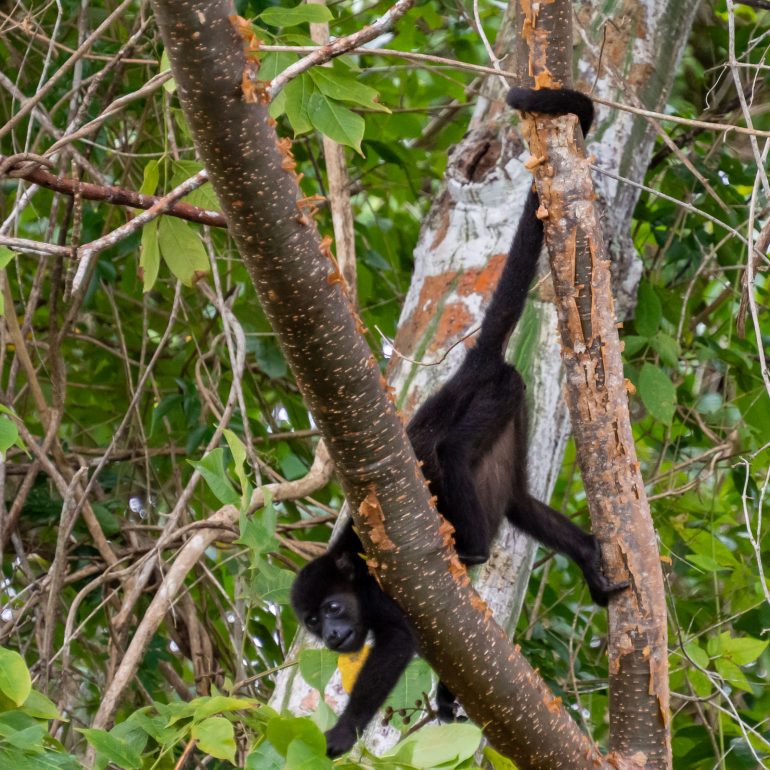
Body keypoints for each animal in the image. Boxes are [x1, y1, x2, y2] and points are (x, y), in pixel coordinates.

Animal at [290, 86, 628, 758]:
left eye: (335, 609)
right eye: (313, 621)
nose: (333, 637)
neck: (357, 585)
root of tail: (474, 364)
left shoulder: (385, 597)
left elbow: (399, 644)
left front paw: (342, 731)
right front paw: (448, 700)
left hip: (492, 397)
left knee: (450, 454)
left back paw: (468, 548)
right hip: (514, 409)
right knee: (520, 501)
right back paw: (585, 555)